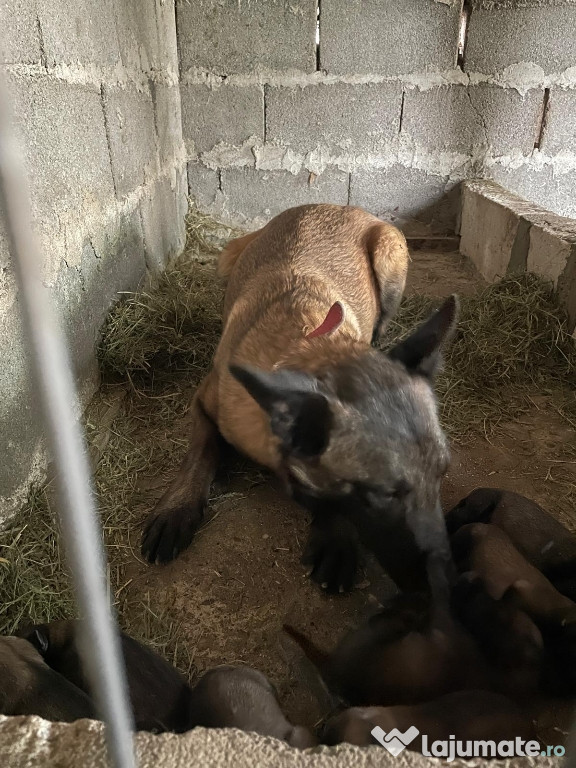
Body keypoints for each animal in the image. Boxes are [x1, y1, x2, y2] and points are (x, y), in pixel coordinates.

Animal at [143, 204, 460, 592]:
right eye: (383, 496)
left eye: (442, 475)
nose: (452, 587)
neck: (305, 342)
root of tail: (334, 205)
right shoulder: (204, 400)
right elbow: (200, 452)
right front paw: (177, 507)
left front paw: (335, 535)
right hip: (227, 259)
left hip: (390, 256)